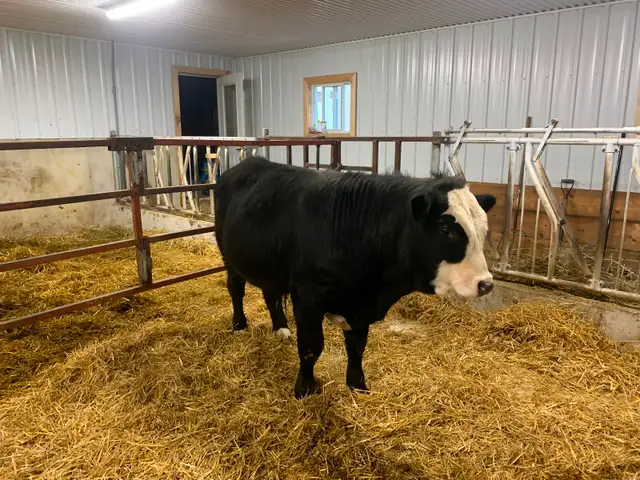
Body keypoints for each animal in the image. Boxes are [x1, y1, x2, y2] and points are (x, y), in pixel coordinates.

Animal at [213, 156, 496, 399]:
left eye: (484, 229)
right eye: (446, 229)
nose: (486, 284)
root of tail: (248, 162)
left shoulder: (360, 305)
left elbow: (357, 346)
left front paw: (358, 386)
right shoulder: (307, 298)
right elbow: (311, 347)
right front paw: (305, 389)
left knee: (270, 292)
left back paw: (280, 328)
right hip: (229, 256)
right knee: (235, 288)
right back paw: (240, 324)